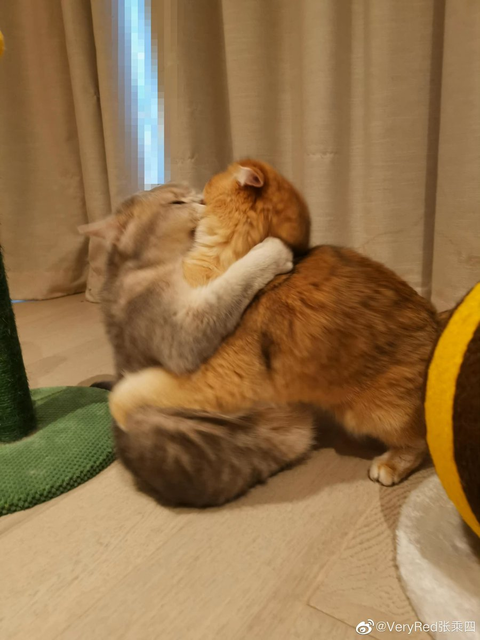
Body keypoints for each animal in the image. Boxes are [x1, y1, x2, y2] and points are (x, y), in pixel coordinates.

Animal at [79, 182, 294, 380]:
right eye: (177, 202)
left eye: (193, 192)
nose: (203, 199)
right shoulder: (183, 330)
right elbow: (236, 280)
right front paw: (273, 250)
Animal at [110, 159, 444, 507]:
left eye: (207, 188)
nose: (195, 194)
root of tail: (438, 322)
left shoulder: (221, 379)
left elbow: (132, 390)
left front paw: (121, 412)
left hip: (372, 412)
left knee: (418, 441)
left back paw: (389, 465)